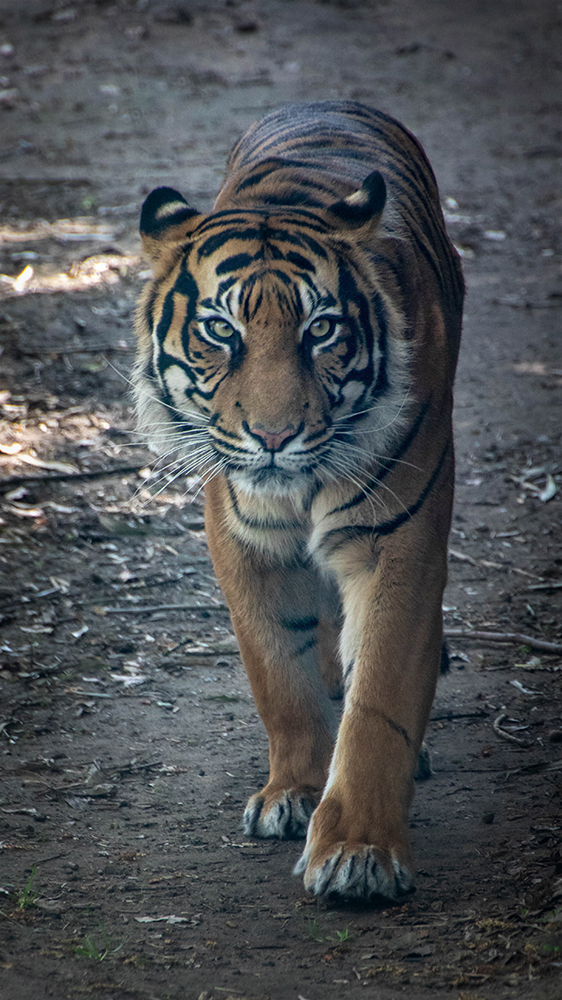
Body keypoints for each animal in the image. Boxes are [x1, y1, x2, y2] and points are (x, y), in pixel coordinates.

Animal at [133, 101, 462, 908]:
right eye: (221, 330)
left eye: (322, 330)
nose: (275, 436)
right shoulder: (242, 539)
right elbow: (277, 673)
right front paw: (296, 792)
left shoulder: (399, 539)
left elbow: (380, 698)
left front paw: (358, 851)